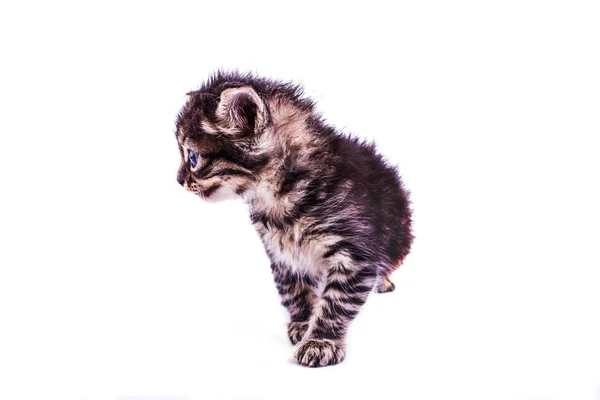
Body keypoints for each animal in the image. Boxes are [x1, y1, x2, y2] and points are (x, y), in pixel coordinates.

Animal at [173, 71, 412, 366]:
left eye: (192, 157)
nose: (178, 179)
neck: (281, 194)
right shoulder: (282, 254)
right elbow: (294, 291)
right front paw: (302, 324)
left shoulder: (355, 253)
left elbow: (336, 301)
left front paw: (321, 341)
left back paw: (384, 280)